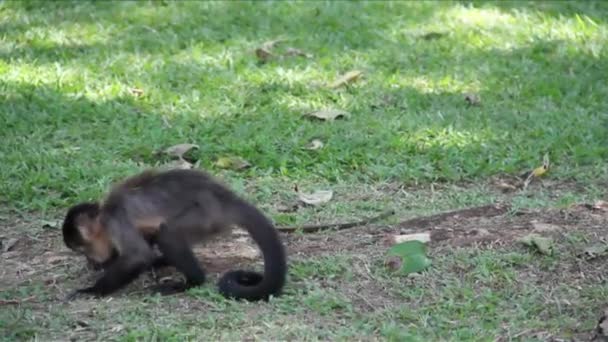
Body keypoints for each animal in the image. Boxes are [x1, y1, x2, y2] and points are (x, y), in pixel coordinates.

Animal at [61, 169, 288, 302]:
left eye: (82, 249)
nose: (89, 259)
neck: (103, 213)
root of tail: (226, 199)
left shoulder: (116, 221)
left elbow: (138, 256)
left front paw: (92, 290)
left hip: (204, 218)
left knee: (167, 234)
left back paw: (191, 281)